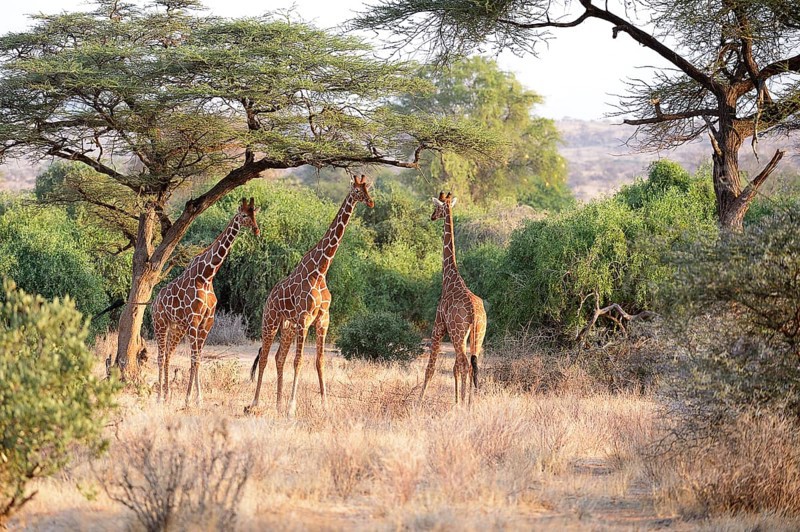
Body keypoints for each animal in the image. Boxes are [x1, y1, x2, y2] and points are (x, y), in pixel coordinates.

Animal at [152, 198, 260, 405]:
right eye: (244, 215)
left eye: (254, 214)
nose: (257, 230)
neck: (206, 276)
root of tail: (154, 302)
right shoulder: (194, 320)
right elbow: (194, 358)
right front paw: (188, 398)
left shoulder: (206, 322)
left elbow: (199, 358)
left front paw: (198, 398)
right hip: (160, 323)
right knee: (160, 356)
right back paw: (160, 396)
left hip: (176, 328)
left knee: (168, 354)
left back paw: (167, 394)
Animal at [247, 175, 374, 416]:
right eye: (356, 190)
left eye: (368, 188)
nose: (371, 202)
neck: (320, 270)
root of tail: (269, 297)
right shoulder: (305, 319)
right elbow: (298, 362)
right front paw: (292, 408)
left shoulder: (323, 319)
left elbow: (319, 361)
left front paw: (324, 406)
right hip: (270, 321)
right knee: (265, 357)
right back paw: (255, 403)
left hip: (288, 327)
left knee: (278, 357)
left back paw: (277, 405)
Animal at [420, 192, 487, 406]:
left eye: (438, 207)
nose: (432, 216)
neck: (449, 276)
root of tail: (474, 313)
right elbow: (454, 368)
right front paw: (457, 401)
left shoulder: (438, 325)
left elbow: (431, 368)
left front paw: (418, 400)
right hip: (477, 334)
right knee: (472, 364)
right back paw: (470, 403)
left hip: (458, 334)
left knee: (465, 364)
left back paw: (465, 404)